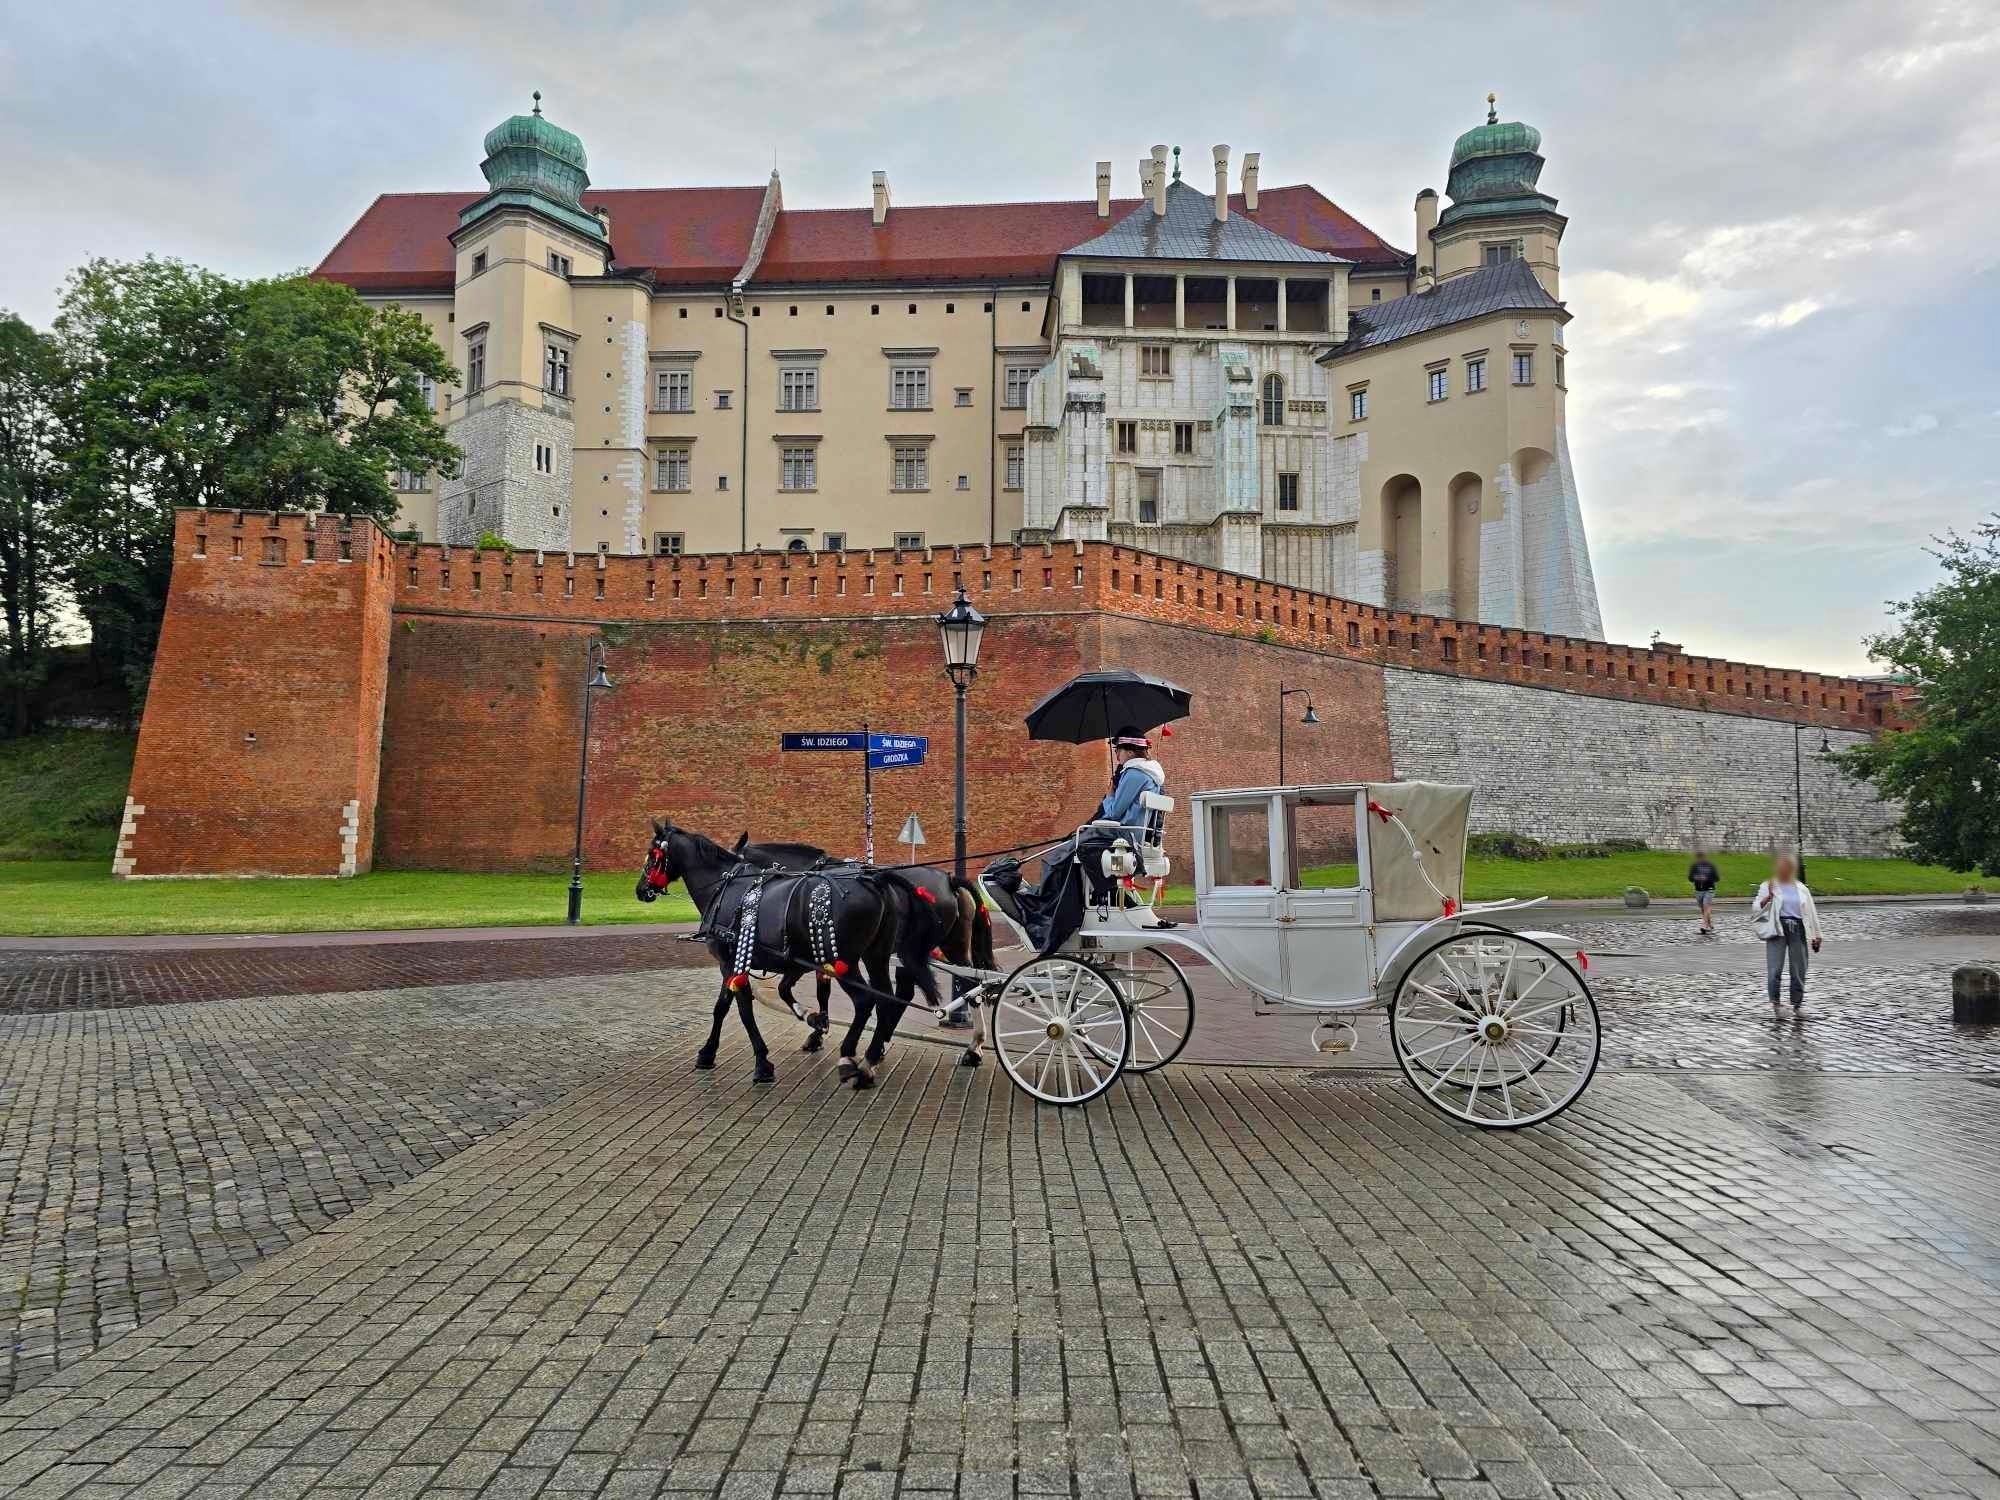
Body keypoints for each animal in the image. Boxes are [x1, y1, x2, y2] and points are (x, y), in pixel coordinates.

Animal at [636, 828, 940, 1088]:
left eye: (652, 854)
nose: (640, 890)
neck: (728, 889)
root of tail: (875, 880)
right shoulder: (775, 961)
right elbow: (738, 1002)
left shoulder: (732, 961)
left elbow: (741, 1009)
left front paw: (761, 1062)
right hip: (875, 955)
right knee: (887, 998)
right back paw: (871, 1057)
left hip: (845, 959)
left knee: (866, 1000)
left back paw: (851, 1058)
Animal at [732, 836, 996, 1072]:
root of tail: (950, 880)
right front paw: (819, 1028)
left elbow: (812, 991)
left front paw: (817, 1029)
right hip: (949, 946)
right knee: (967, 985)